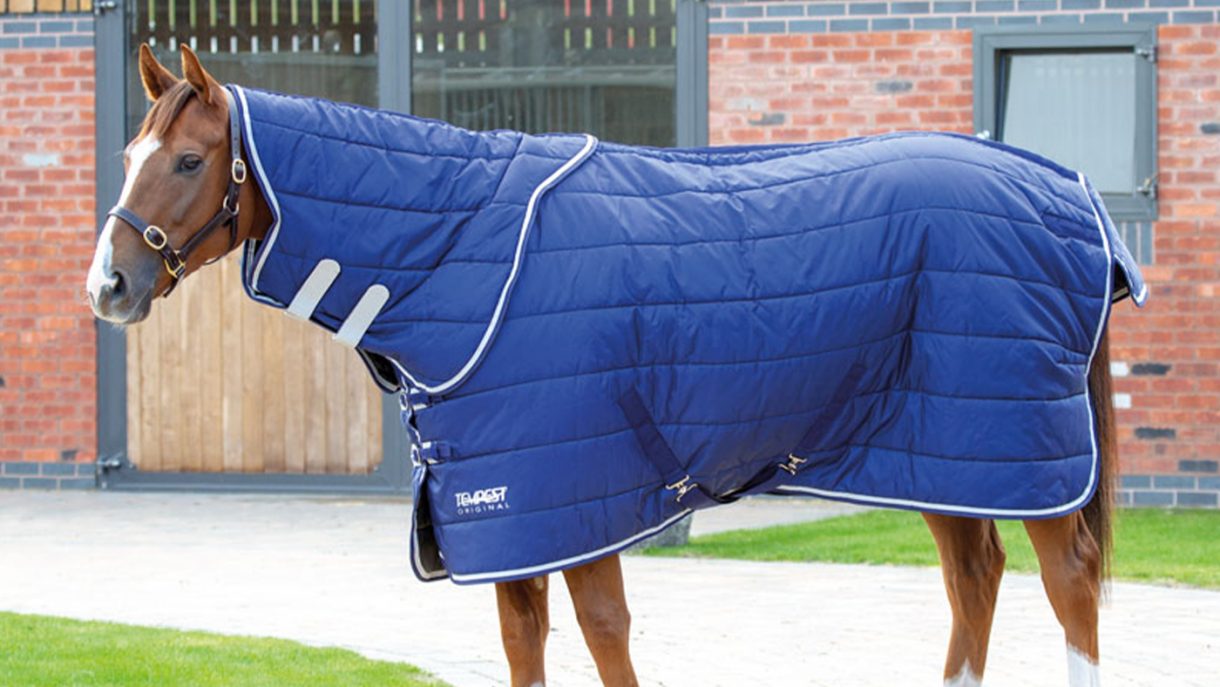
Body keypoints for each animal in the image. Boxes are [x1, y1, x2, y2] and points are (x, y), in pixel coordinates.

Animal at [86, 44, 1128, 687]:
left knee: (1068, 580)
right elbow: (524, 643)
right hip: (942, 447)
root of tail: (1068, 190)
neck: (468, 249)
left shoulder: (576, 503)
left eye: (187, 161)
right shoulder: (507, 518)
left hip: (1018, 445)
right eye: (131, 151)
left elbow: (604, 636)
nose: (109, 284)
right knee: (976, 577)